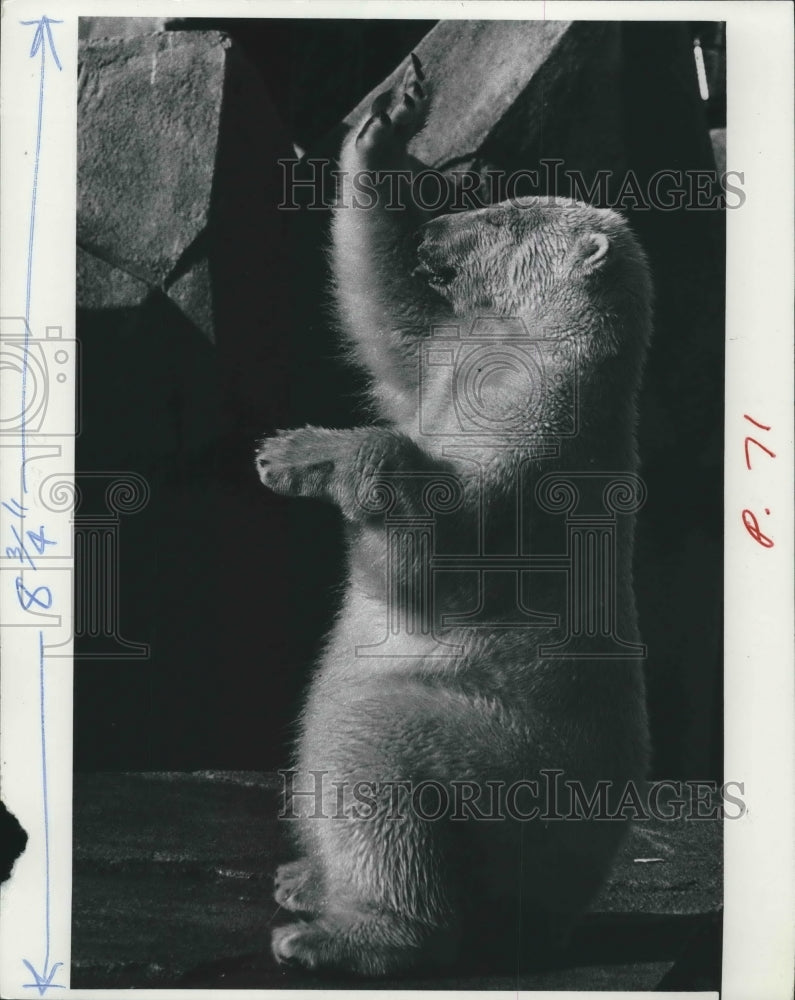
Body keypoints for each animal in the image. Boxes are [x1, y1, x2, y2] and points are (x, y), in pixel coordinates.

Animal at [256, 52, 653, 977]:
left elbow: (445, 552)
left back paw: (339, 930)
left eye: (503, 217)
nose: (436, 235)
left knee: (374, 759)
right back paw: (302, 878)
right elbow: (387, 320)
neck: (528, 351)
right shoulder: (451, 356)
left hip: (498, 750)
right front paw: (387, 119)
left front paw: (307, 456)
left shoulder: (541, 436)